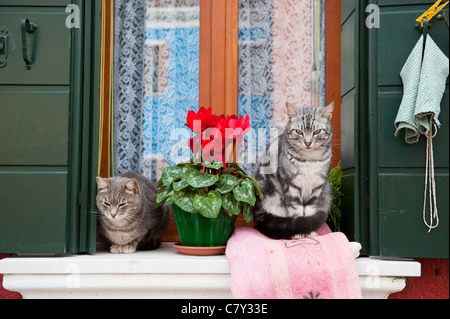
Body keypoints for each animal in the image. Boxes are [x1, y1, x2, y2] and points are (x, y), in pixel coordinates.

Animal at [253, 102, 334, 240]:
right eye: (299, 131)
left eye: (317, 131)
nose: (308, 143)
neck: (309, 160)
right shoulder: (291, 186)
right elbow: (296, 211)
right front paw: (299, 232)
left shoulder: (316, 187)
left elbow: (310, 210)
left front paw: (310, 232)